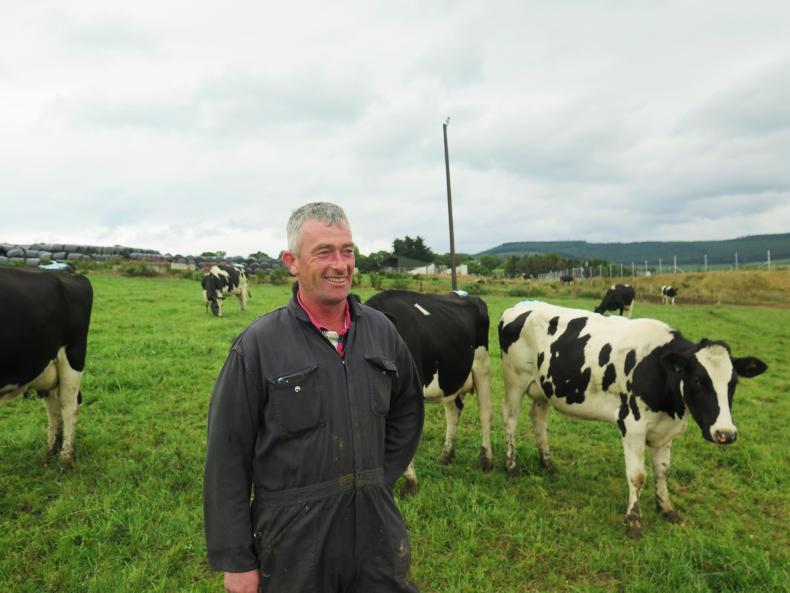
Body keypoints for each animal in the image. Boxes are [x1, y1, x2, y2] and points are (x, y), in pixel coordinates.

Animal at [0, 266, 93, 467]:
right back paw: (50, 450)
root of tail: (67, 272)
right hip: (45, 367)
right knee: (53, 407)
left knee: (69, 405)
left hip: (72, 355)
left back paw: (65, 457)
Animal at [365, 290, 493, 494]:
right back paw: (446, 455)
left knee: (485, 413)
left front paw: (410, 483)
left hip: (482, 366)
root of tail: (466, 295)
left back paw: (486, 460)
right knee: (454, 411)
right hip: (448, 377)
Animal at [498, 301, 766, 538]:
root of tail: (518, 308)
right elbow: (637, 476)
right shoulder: (632, 424)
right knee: (510, 418)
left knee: (538, 419)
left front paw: (666, 509)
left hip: (544, 388)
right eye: (698, 380)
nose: (726, 434)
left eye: (733, 383)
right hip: (515, 379)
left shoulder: (666, 430)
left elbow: (662, 471)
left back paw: (547, 462)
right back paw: (511, 466)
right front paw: (634, 521)